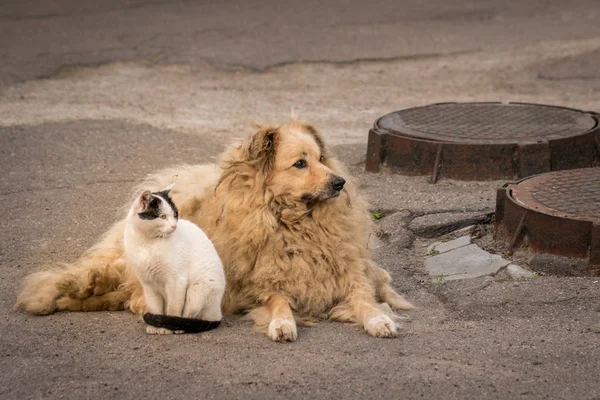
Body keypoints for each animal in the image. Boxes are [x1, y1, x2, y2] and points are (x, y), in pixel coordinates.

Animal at [123, 185, 225, 334]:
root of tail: (218, 314)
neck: (147, 242)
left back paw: (179, 328)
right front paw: (155, 327)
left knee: (190, 316)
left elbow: (173, 308)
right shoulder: (148, 285)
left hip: (197, 291)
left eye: (175, 214)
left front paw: (166, 328)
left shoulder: (176, 281)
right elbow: (155, 308)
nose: (174, 226)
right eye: (163, 216)